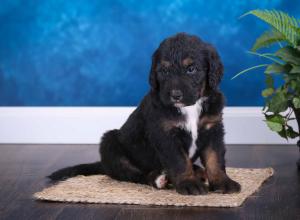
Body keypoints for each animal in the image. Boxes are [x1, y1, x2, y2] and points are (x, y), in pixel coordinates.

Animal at [49, 32, 241, 194]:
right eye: (164, 71)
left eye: (191, 69)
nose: (175, 95)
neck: (190, 108)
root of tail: (103, 165)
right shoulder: (166, 134)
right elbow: (179, 161)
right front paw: (188, 183)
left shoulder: (212, 128)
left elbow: (215, 159)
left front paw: (222, 182)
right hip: (110, 143)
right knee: (135, 175)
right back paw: (160, 179)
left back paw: (198, 172)